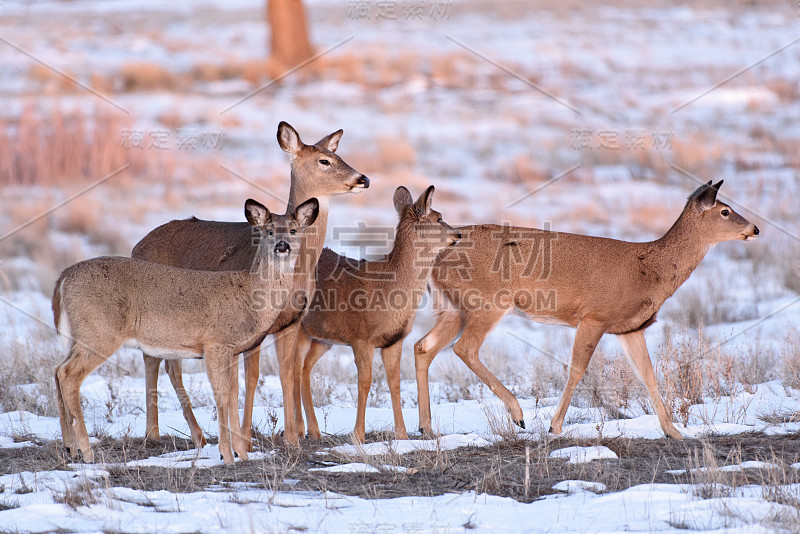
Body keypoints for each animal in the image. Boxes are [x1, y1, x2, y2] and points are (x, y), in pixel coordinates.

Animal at [52, 197, 322, 464]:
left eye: (293, 230)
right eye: (269, 231)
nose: (282, 246)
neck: (250, 293)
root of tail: (63, 278)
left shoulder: (232, 350)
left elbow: (233, 395)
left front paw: (242, 454)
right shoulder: (216, 343)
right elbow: (222, 396)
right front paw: (227, 454)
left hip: (80, 334)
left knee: (57, 370)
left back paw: (70, 447)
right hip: (99, 332)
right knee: (69, 374)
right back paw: (86, 451)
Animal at [131, 119, 368, 450]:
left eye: (338, 155)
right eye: (325, 161)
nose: (363, 179)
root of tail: (136, 246)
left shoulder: (292, 321)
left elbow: (287, 374)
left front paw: (292, 439)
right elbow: (251, 377)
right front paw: (245, 439)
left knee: (167, 363)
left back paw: (196, 435)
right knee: (155, 361)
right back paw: (158, 433)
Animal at [296, 186, 460, 446]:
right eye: (438, 217)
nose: (459, 234)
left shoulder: (394, 340)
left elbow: (395, 383)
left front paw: (402, 435)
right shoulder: (361, 338)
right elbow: (365, 382)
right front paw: (357, 435)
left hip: (322, 338)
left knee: (304, 368)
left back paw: (314, 431)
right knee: (290, 368)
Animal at [416, 182, 760, 442]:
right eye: (725, 211)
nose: (755, 228)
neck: (650, 269)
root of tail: (436, 258)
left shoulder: (630, 327)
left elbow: (648, 375)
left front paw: (673, 431)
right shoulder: (594, 316)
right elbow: (577, 369)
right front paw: (554, 426)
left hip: (454, 308)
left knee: (424, 346)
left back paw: (426, 427)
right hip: (488, 301)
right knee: (464, 348)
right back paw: (517, 414)